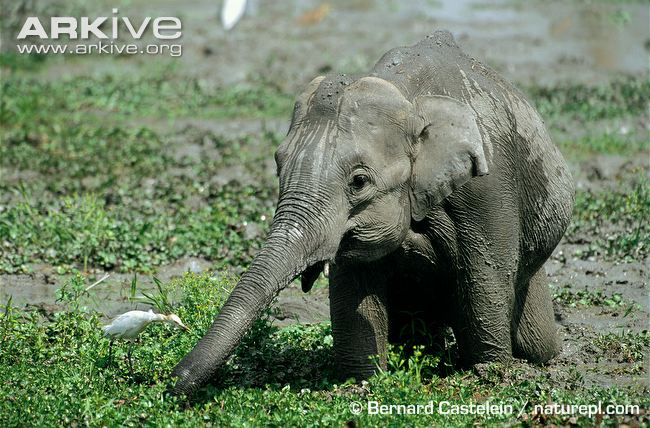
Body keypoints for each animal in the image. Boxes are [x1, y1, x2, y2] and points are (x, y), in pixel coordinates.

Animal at [171, 31, 574, 396]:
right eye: (277, 165)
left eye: (359, 181)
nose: (170, 385)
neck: (406, 95)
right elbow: (354, 288)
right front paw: (358, 384)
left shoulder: (488, 187)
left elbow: (486, 274)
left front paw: (492, 375)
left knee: (536, 338)